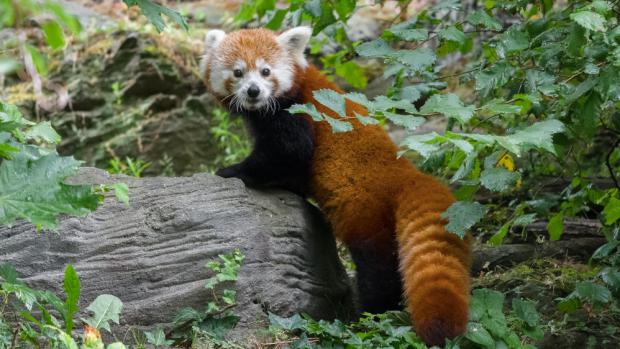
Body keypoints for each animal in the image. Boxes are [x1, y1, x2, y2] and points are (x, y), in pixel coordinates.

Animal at [201, 27, 472, 346]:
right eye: (238, 72)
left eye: (265, 71)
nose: (253, 91)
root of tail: (406, 174)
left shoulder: (295, 112)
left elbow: (288, 152)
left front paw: (230, 172)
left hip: (367, 211)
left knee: (378, 269)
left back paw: (371, 316)